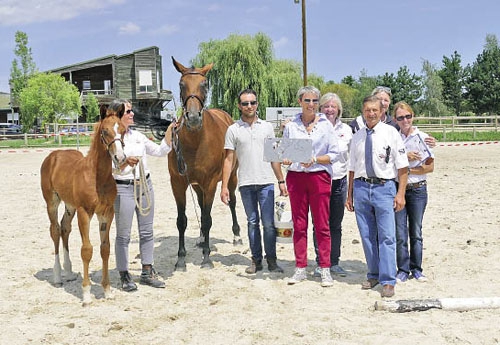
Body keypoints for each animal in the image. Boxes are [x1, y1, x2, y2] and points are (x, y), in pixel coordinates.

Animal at [41, 106, 127, 306]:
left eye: (124, 130)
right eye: (105, 131)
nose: (120, 157)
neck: (98, 177)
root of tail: (53, 155)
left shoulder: (107, 213)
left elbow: (105, 249)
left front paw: (107, 290)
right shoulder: (84, 212)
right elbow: (87, 250)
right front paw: (87, 294)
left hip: (69, 206)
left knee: (65, 228)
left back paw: (69, 272)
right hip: (52, 202)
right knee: (55, 230)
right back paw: (58, 277)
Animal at [169, 57, 241, 272]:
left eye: (204, 84)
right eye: (181, 84)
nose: (193, 118)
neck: (195, 141)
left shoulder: (210, 183)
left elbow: (208, 219)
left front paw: (207, 258)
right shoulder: (178, 184)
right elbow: (182, 221)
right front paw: (181, 260)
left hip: (231, 177)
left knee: (232, 202)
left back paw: (236, 235)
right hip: (196, 185)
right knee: (201, 206)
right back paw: (201, 239)